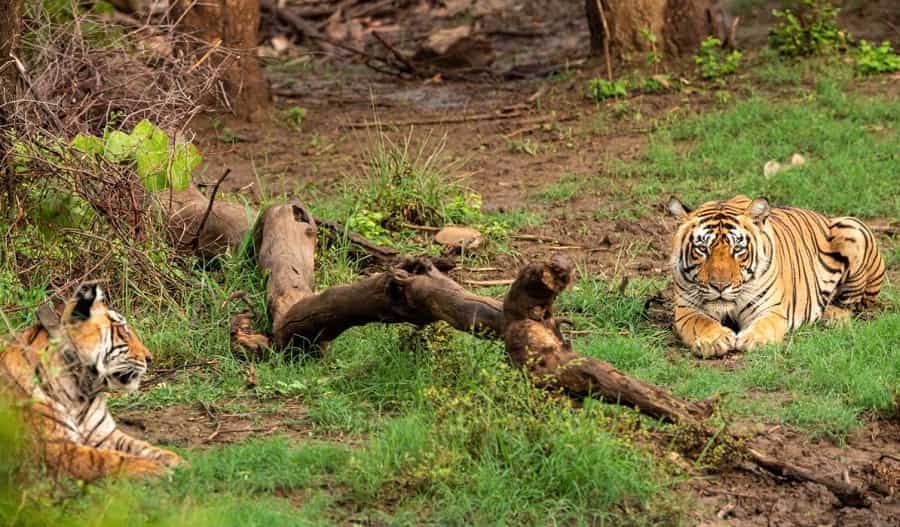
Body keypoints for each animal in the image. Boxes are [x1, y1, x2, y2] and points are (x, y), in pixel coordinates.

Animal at [0, 282, 185, 480]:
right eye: (124, 331)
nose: (150, 358)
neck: (80, 392)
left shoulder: (106, 434)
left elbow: (143, 446)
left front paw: (180, 463)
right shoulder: (52, 447)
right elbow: (105, 458)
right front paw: (153, 468)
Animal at [668, 195, 884, 358]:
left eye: (737, 249)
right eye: (702, 249)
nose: (720, 286)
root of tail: (824, 216)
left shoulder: (771, 308)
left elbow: (765, 325)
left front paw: (754, 339)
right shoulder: (687, 308)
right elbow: (701, 322)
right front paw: (714, 340)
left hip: (852, 226)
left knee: (853, 304)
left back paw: (834, 316)